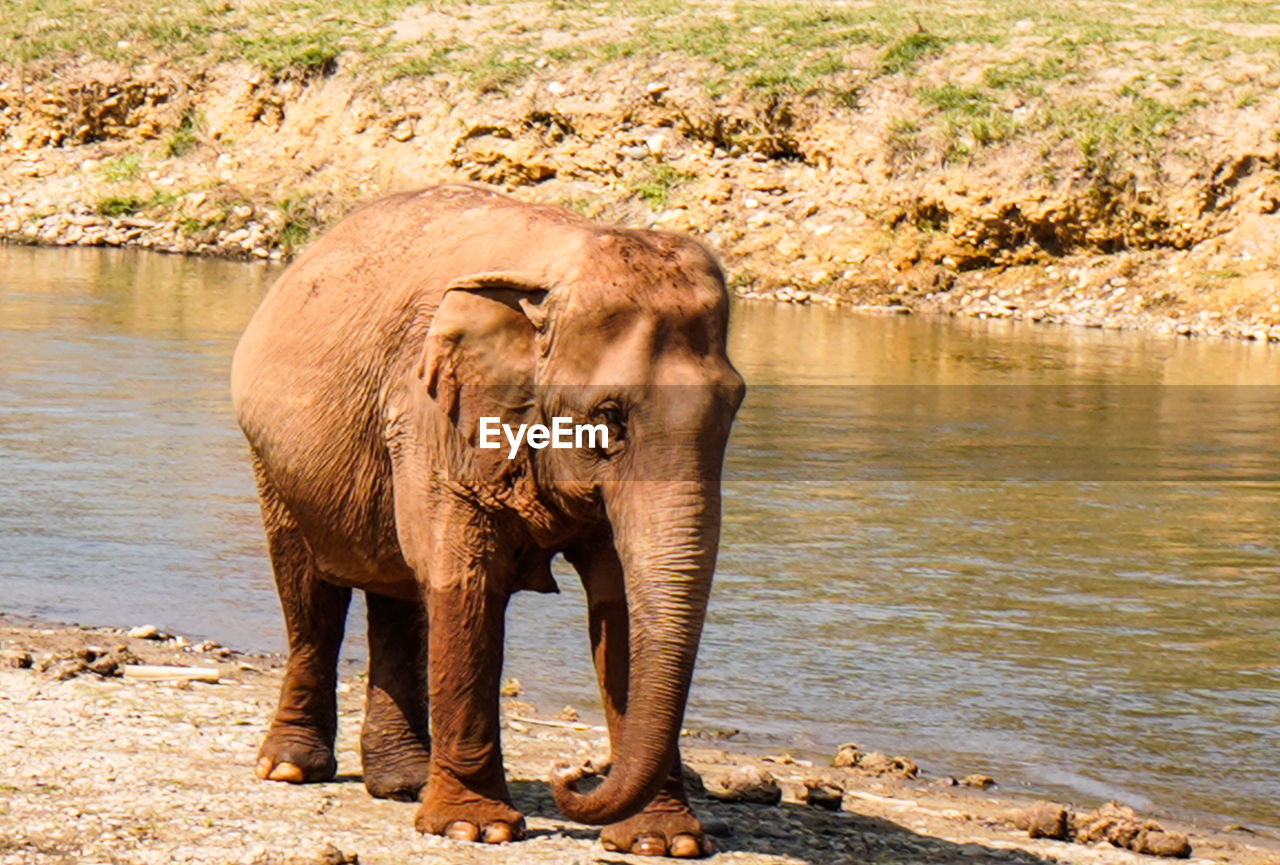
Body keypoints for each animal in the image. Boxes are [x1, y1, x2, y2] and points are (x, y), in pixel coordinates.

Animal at [231, 184, 747, 859]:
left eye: (734, 407)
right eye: (609, 416)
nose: (571, 772)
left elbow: (620, 604)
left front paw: (665, 843)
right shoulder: (429, 413)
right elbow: (465, 581)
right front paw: (477, 829)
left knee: (396, 594)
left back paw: (403, 782)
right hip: (275, 462)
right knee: (311, 594)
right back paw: (293, 769)